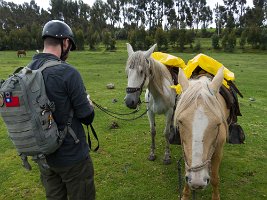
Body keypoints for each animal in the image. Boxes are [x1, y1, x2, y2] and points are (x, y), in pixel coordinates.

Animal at [175, 67, 229, 200]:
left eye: (218, 124)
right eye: (180, 121)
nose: (197, 182)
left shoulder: (218, 150)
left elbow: (214, 178)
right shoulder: (185, 149)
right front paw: (185, 195)